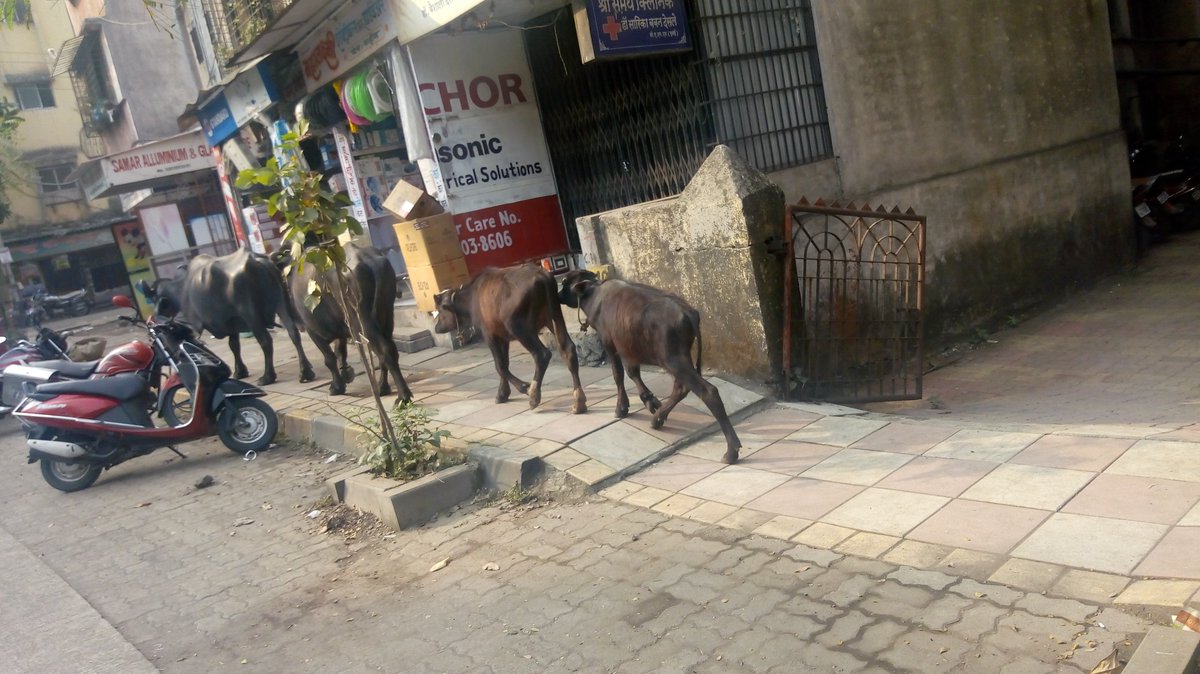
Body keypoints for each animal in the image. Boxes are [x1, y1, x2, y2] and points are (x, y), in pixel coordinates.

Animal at [145, 247, 316, 383]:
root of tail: (259, 261)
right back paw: (305, 372)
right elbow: (234, 345)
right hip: (281, 302)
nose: (153, 318)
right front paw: (240, 371)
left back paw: (268, 376)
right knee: (293, 333)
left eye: (155, 298)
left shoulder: (195, 325)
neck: (183, 288)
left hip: (251, 314)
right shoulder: (232, 321)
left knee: (266, 341)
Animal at [434, 263, 588, 412]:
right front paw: (502, 393)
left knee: (542, 354)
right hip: (553, 317)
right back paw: (578, 401)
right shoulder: (503, 336)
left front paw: (523, 387)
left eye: (440, 310)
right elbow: (505, 363)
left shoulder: (489, 334)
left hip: (518, 327)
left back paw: (534, 395)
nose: (436, 328)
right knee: (568, 349)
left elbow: (500, 366)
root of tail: (541, 275)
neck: (472, 297)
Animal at [559, 267, 744, 460]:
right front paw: (650, 400)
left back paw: (731, 450)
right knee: (681, 387)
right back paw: (658, 419)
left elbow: (619, 374)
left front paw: (621, 408)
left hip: (672, 360)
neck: (594, 294)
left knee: (707, 391)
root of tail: (688, 312)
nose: (558, 295)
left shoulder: (611, 345)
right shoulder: (629, 350)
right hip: (679, 358)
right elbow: (633, 372)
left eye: (565, 282)